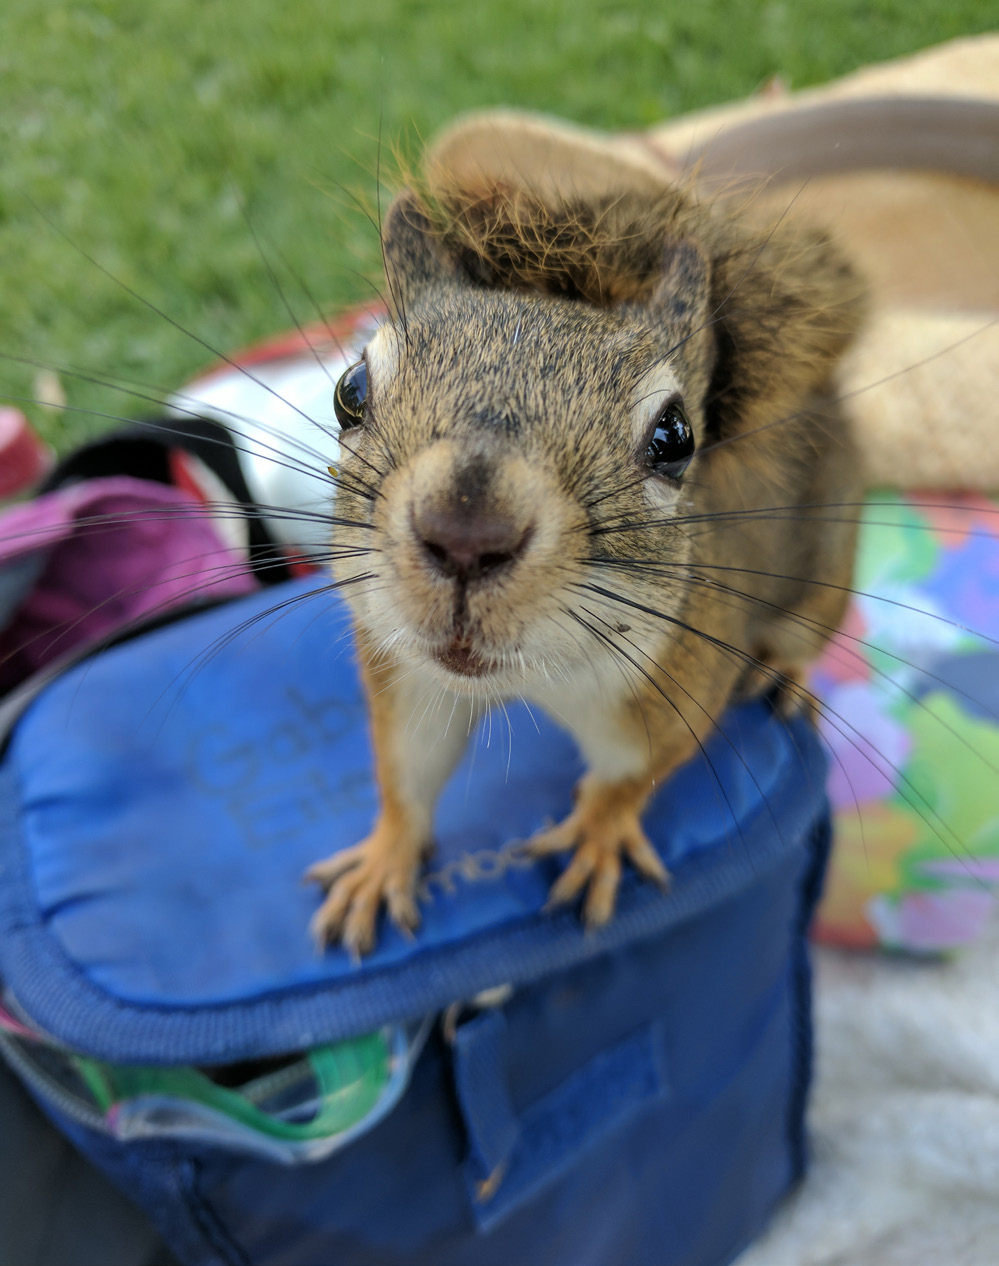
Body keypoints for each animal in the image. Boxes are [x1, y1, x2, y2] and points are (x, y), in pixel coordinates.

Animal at [302, 163, 866, 952]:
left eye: (674, 437)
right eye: (349, 391)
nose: (466, 535)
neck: (535, 677)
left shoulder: (686, 681)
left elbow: (631, 779)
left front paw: (598, 836)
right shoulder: (411, 675)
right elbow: (406, 768)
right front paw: (384, 861)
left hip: (822, 574)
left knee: (803, 632)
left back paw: (786, 672)